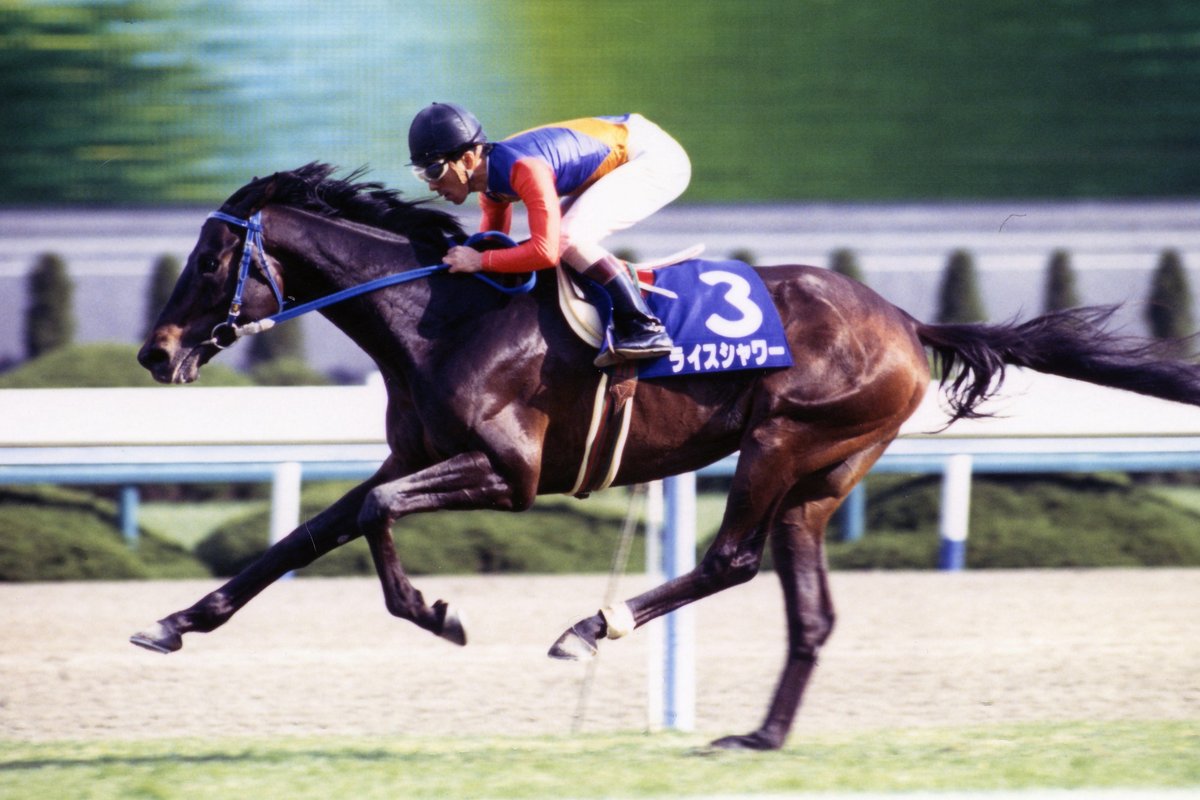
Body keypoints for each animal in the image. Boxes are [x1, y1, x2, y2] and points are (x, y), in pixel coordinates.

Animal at [132, 163, 1200, 750]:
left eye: (212, 261)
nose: (155, 352)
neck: (441, 315)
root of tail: (905, 319)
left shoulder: (512, 476)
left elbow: (370, 517)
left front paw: (437, 613)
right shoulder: (416, 455)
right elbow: (314, 529)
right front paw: (177, 621)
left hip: (782, 439)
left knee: (731, 560)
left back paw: (588, 627)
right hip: (823, 478)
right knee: (810, 610)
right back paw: (761, 737)